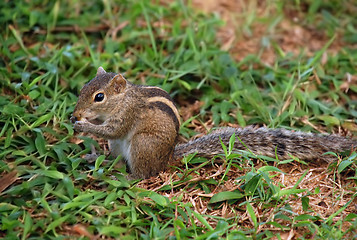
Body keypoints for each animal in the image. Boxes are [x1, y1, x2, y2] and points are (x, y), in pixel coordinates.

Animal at [71, 66, 356, 179]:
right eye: (83, 88)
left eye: (99, 96)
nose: (76, 112)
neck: (123, 99)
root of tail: (167, 157)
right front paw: (77, 121)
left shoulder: (127, 114)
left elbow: (113, 128)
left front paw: (85, 126)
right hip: (119, 147)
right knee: (115, 158)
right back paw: (95, 159)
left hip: (142, 144)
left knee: (143, 174)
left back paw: (125, 177)